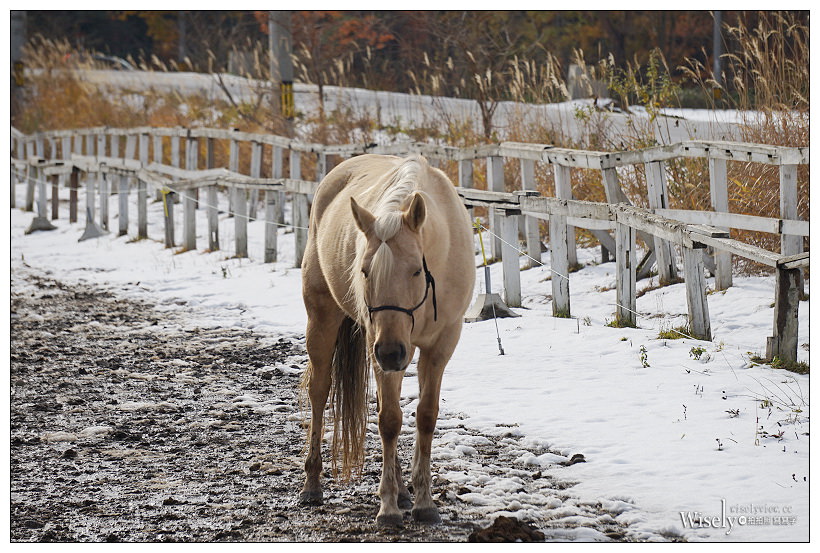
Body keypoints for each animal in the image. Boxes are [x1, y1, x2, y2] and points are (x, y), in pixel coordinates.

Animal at [299, 153, 475, 526]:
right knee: (319, 392)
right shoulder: (377, 343)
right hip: (323, 322)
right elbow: (390, 420)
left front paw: (423, 502)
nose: (391, 353)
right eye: (365, 271)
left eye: (416, 270)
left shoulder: (441, 344)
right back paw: (312, 486)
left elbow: (425, 416)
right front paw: (388, 508)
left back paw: (404, 492)